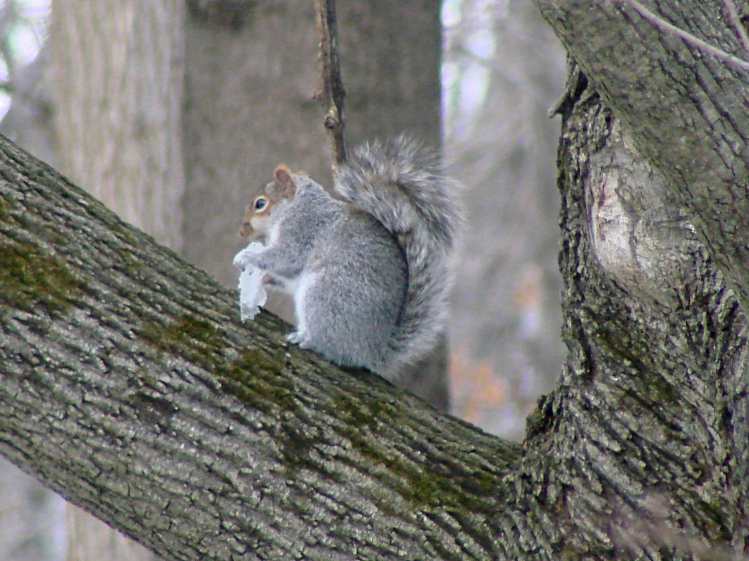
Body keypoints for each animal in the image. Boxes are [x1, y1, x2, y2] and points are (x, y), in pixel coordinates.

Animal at [237, 136, 462, 380]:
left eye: (260, 204)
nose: (242, 232)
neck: (296, 205)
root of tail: (372, 351)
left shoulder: (302, 231)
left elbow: (286, 257)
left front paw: (246, 256)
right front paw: (264, 278)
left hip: (325, 296)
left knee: (334, 348)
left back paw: (307, 339)